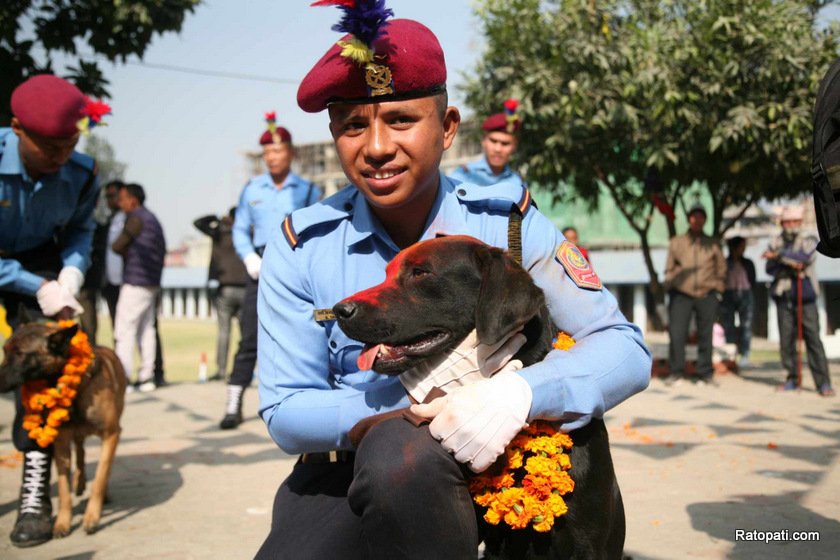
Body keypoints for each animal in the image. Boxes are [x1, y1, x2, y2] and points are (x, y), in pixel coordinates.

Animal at [0, 324, 126, 540]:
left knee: (99, 464)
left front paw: (92, 517)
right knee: (81, 452)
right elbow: (63, 487)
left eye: (20, 354)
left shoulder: (111, 434)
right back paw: (79, 482)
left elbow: (100, 478)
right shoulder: (61, 442)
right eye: (4, 351)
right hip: (77, 434)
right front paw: (62, 522)